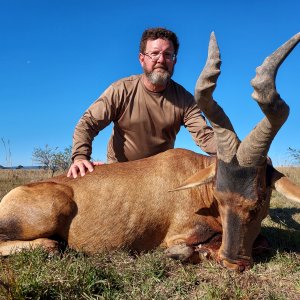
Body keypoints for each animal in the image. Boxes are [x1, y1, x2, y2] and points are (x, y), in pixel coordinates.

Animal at [0, 32, 300, 272]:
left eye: (259, 202)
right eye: (220, 197)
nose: (231, 262)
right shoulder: (180, 234)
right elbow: (189, 247)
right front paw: (185, 253)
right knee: (48, 245)